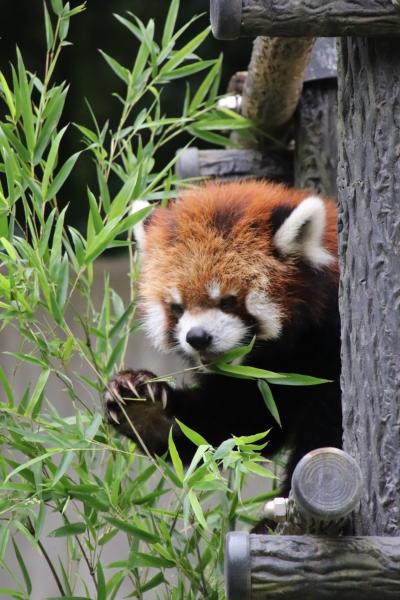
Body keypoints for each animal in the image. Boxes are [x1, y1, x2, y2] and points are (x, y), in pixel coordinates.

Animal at [104, 180, 342, 494]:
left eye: (228, 301)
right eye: (177, 307)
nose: (197, 337)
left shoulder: (330, 349)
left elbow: (326, 428)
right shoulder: (260, 383)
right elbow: (235, 427)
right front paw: (141, 407)